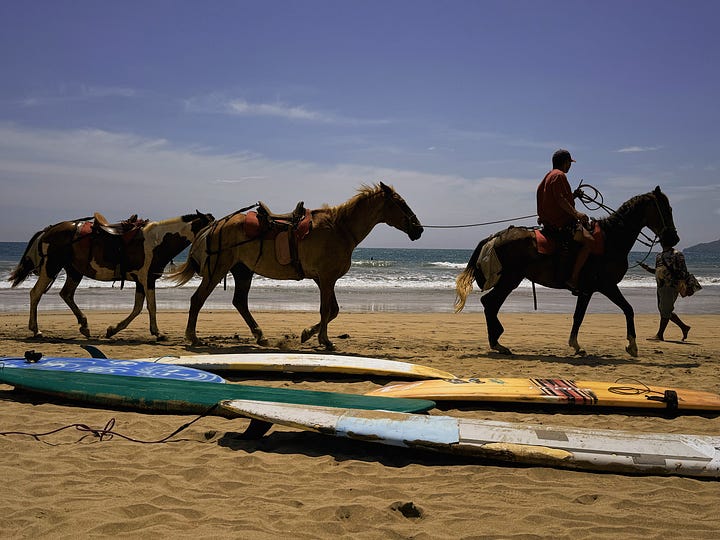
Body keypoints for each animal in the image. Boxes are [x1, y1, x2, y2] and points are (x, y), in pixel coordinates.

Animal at [9, 210, 214, 338]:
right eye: (211, 226)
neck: (157, 241)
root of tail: (48, 230)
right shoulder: (147, 278)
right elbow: (151, 307)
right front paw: (158, 333)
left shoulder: (140, 281)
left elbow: (138, 308)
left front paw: (113, 329)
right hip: (51, 266)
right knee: (36, 294)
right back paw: (36, 330)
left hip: (74, 271)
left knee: (66, 294)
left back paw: (84, 325)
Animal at [169, 184, 424, 348]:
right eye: (401, 203)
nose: (419, 229)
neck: (340, 228)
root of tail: (216, 225)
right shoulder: (327, 278)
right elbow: (326, 310)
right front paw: (324, 340)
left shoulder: (323, 279)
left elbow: (333, 310)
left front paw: (308, 334)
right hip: (217, 270)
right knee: (198, 299)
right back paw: (193, 337)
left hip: (243, 271)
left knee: (239, 302)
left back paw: (260, 336)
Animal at [458, 188, 676, 356]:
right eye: (666, 209)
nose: (674, 239)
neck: (610, 240)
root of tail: (495, 237)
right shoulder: (602, 286)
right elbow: (617, 310)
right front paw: (631, 345)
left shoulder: (593, 289)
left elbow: (588, 314)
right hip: (510, 279)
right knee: (490, 303)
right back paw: (497, 342)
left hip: (510, 279)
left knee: (490, 304)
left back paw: (497, 341)